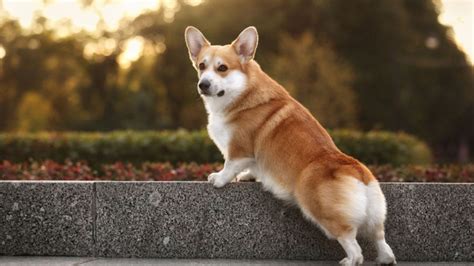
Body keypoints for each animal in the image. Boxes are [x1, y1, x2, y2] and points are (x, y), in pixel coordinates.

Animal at [184, 25, 396, 266]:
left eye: (222, 68)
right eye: (202, 66)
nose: (203, 84)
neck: (242, 93)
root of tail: (357, 171)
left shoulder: (239, 149)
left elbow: (229, 166)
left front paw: (218, 178)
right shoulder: (252, 158)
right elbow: (252, 168)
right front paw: (248, 176)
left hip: (324, 213)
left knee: (352, 243)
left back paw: (349, 261)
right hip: (375, 217)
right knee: (380, 238)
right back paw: (385, 258)